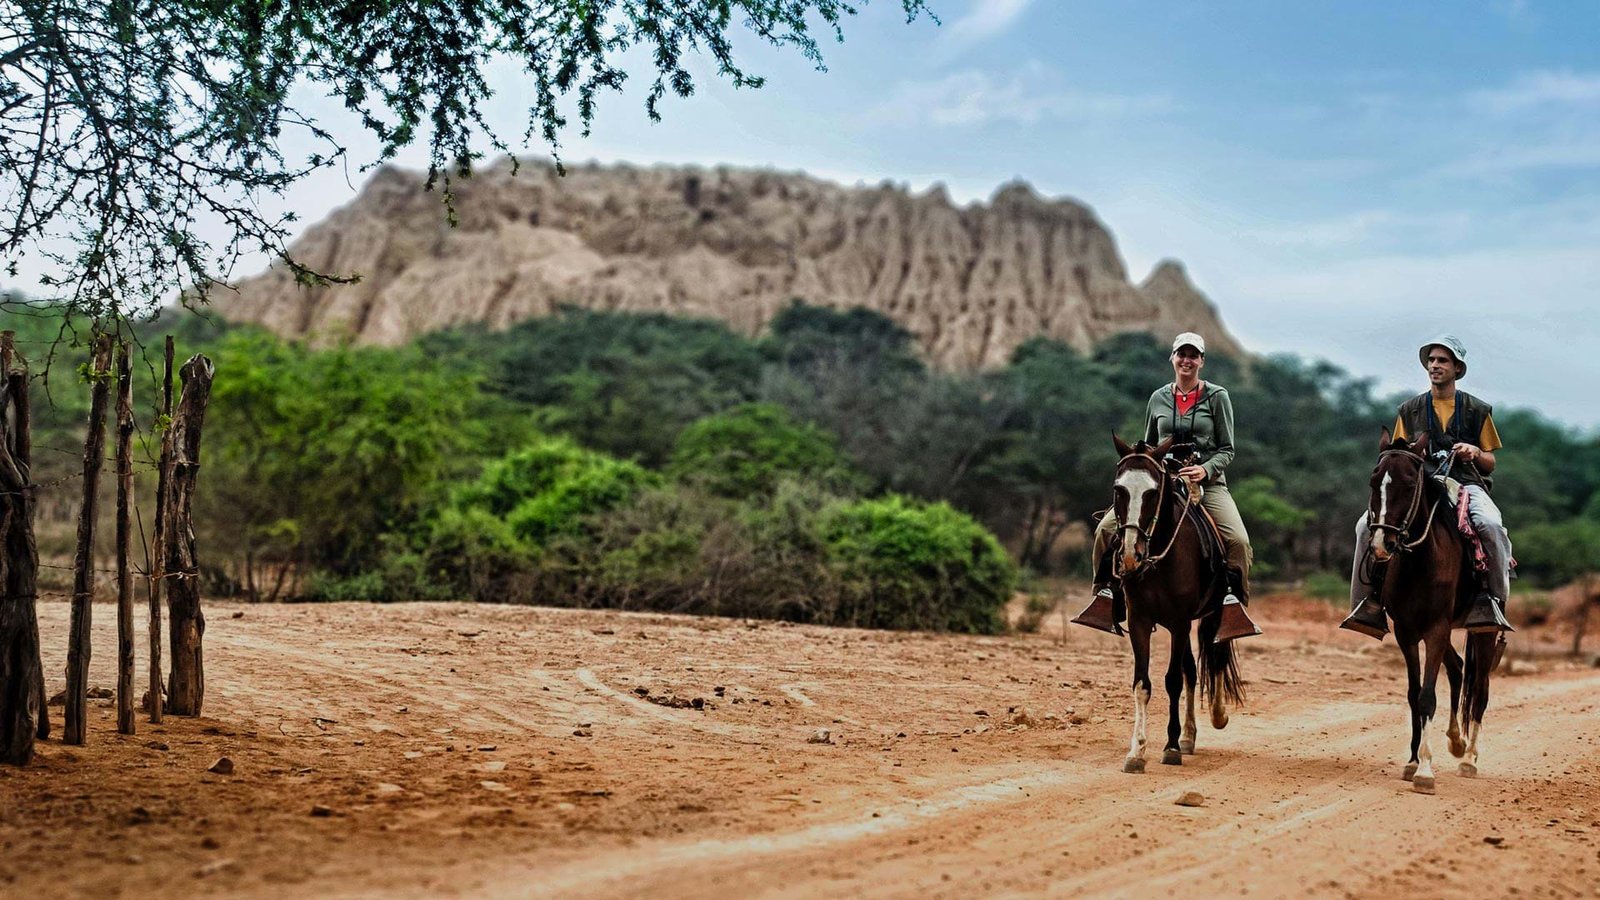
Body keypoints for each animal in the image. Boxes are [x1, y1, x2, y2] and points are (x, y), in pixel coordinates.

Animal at [1107, 435, 1241, 771]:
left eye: (1153, 492)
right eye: (1119, 489)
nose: (1131, 555)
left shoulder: (1180, 622)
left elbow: (1172, 681)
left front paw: (1170, 747)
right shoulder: (1140, 621)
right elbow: (1142, 684)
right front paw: (1137, 751)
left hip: (1213, 614)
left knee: (1215, 658)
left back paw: (1216, 717)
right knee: (1192, 671)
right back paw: (1189, 736)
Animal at [1363, 432, 1497, 787]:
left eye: (1410, 484)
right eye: (1374, 482)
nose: (1381, 545)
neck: (1420, 561)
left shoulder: (1436, 628)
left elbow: (1427, 695)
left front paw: (1424, 770)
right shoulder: (1407, 631)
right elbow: (1414, 694)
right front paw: (1412, 761)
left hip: (1483, 631)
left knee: (1480, 689)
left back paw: (1470, 758)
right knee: (1458, 667)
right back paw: (1455, 740)